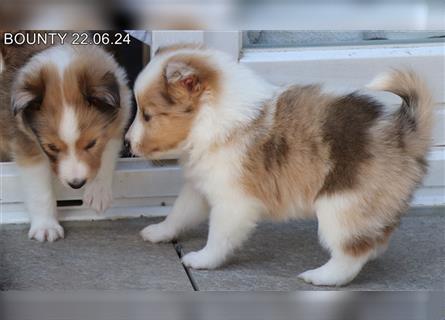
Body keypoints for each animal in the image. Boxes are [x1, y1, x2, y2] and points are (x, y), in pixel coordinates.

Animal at [0, 42, 131, 242]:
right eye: (52, 147)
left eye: (91, 144)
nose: (76, 184)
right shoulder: (26, 143)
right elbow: (39, 190)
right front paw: (46, 226)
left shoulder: (120, 115)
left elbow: (107, 152)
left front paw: (99, 191)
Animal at [126, 44, 432, 284]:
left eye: (148, 115)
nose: (127, 143)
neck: (211, 120)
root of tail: (404, 133)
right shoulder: (200, 186)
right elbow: (179, 214)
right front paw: (159, 231)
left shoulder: (233, 202)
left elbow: (219, 237)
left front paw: (202, 260)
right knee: (375, 237)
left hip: (342, 204)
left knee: (351, 253)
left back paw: (320, 277)